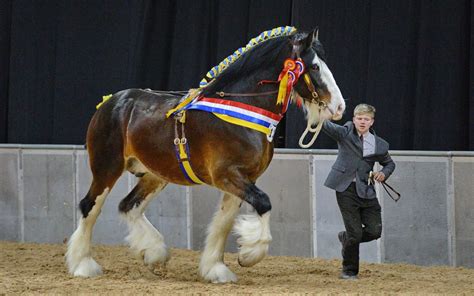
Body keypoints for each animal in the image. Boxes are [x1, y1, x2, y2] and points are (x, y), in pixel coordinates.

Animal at [65, 27, 344, 282]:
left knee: (128, 205)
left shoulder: (243, 179)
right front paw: (249, 255)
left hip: (156, 174)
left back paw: (154, 254)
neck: (240, 110)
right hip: (107, 168)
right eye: (315, 67)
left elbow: (223, 222)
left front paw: (216, 269)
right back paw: (83, 265)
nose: (339, 107)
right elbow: (264, 203)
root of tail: (110, 102)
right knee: (90, 206)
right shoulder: (226, 175)